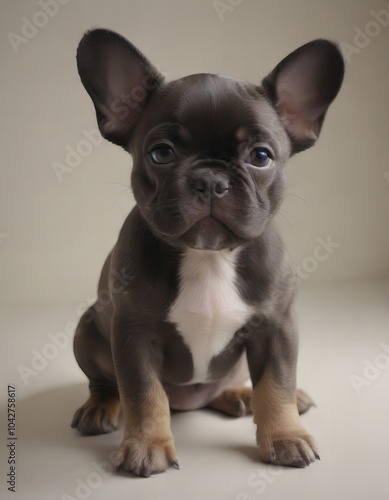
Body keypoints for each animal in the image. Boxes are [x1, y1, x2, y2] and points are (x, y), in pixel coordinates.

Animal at [70, 29, 342, 478]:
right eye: (161, 153)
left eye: (261, 157)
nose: (211, 179)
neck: (209, 255)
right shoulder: (132, 334)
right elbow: (143, 394)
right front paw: (146, 445)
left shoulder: (277, 328)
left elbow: (276, 384)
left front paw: (285, 436)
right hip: (88, 329)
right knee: (108, 384)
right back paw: (99, 408)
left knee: (239, 384)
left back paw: (244, 395)